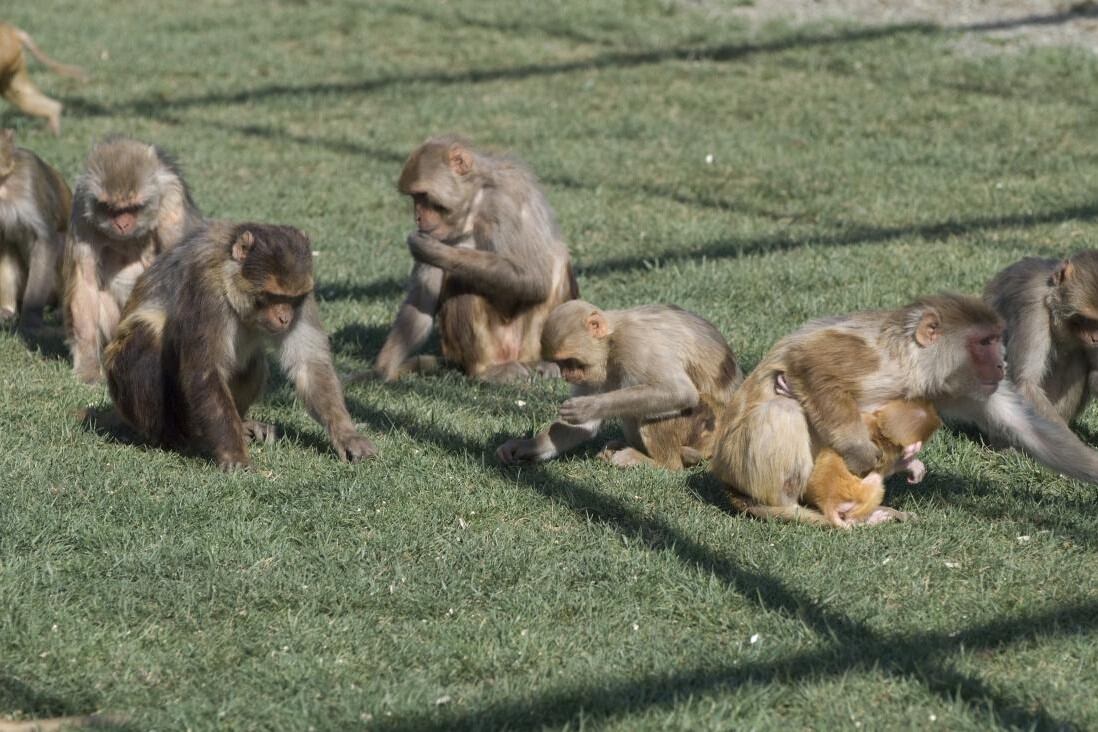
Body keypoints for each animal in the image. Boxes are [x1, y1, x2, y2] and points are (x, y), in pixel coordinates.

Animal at [64, 136, 203, 383]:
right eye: (110, 208)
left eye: (134, 207)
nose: (122, 224)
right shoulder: (82, 208)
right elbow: (86, 282)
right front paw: (88, 365)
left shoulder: (172, 203)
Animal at [104, 221, 378, 470]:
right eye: (272, 296)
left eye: (291, 299)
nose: (285, 318)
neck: (230, 279)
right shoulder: (207, 290)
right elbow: (206, 372)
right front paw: (233, 453)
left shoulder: (305, 294)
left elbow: (309, 364)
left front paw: (347, 436)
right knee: (146, 334)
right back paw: (182, 438)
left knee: (253, 361)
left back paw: (243, 424)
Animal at [373, 135, 578, 384]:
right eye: (414, 197)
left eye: (423, 196)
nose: (418, 217)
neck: (474, 204)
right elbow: (422, 298)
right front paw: (381, 370)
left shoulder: (508, 200)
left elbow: (535, 278)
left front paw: (438, 252)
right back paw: (485, 369)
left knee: (554, 260)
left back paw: (534, 363)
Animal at [496, 300, 743, 470]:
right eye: (561, 364)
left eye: (571, 362)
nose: (566, 375)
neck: (611, 343)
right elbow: (582, 427)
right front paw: (525, 446)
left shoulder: (636, 344)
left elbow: (680, 392)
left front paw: (590, 406)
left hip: (704, 427)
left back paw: (659, 463)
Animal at [711, 293, 1098, 528]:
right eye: (985, 342)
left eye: (996, 339)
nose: (1001, 363)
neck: (916, 366)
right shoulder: (877, 358)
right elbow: (809, 360)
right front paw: (860, 450)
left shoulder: (965, 387)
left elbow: (1026, 426)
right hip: (739, 466)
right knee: (783, 407)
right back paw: (784, 508)